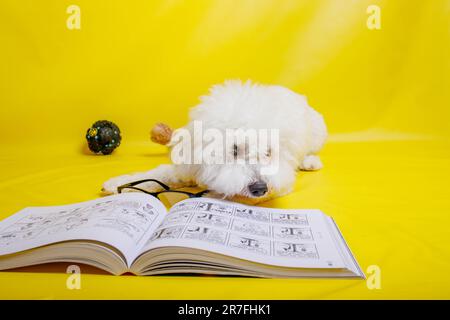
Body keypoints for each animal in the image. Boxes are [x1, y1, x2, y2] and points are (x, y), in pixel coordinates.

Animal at [102, 81, 326, 204]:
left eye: (268, 152)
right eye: (234, 150)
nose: (260, 188)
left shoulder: (279, 184)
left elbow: (228, 195)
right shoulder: (189, 166)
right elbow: (158, 174)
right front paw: (120, 183)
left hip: (318, 132)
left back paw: (310, 161)